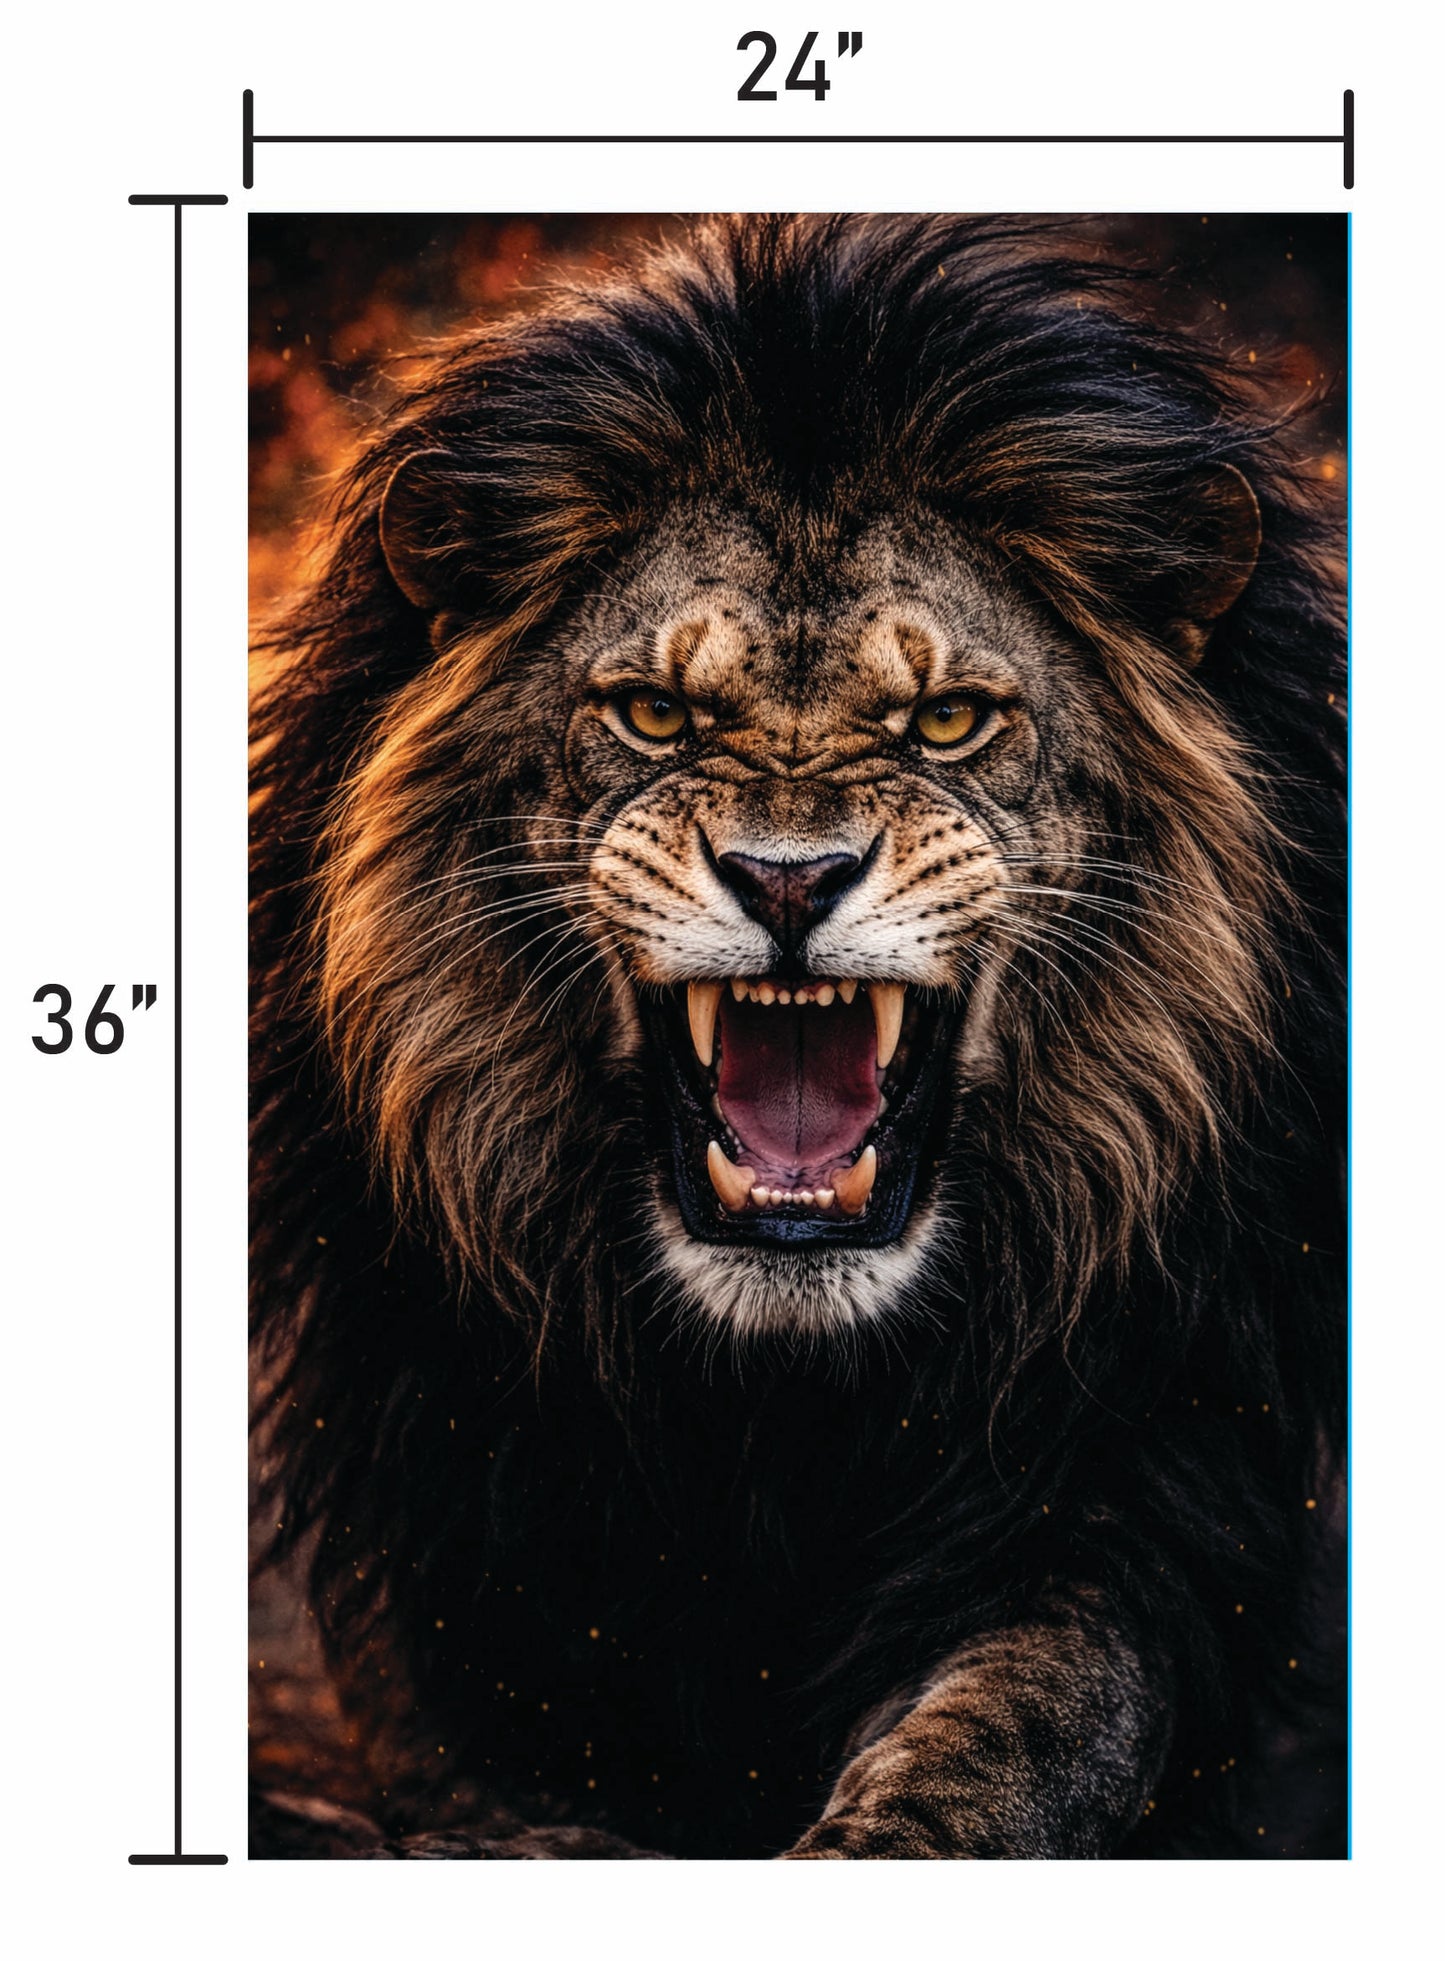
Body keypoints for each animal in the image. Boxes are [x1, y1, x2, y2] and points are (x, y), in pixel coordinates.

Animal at [250, 215, 1345, 1859]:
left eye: (947, 722)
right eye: (651, 713)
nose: (786, 879)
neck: (781, 1402)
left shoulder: (1122, 1497)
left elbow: (1026, 1725)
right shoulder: (459, 1592)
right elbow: (502, 1815)